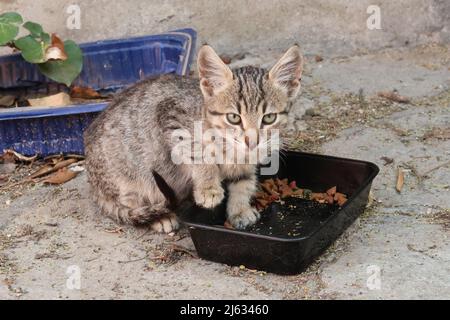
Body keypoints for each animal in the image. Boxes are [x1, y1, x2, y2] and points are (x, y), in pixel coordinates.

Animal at [84, 44, 302, 232]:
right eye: (233, 118)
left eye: (269, 118)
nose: (252, 141)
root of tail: (93, 184)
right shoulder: (171, 116)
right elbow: (198, 153)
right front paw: (208, 188)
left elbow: (243, 181)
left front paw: (240, 210)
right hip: (130, 173)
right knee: (132, 203)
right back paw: (159, 218)